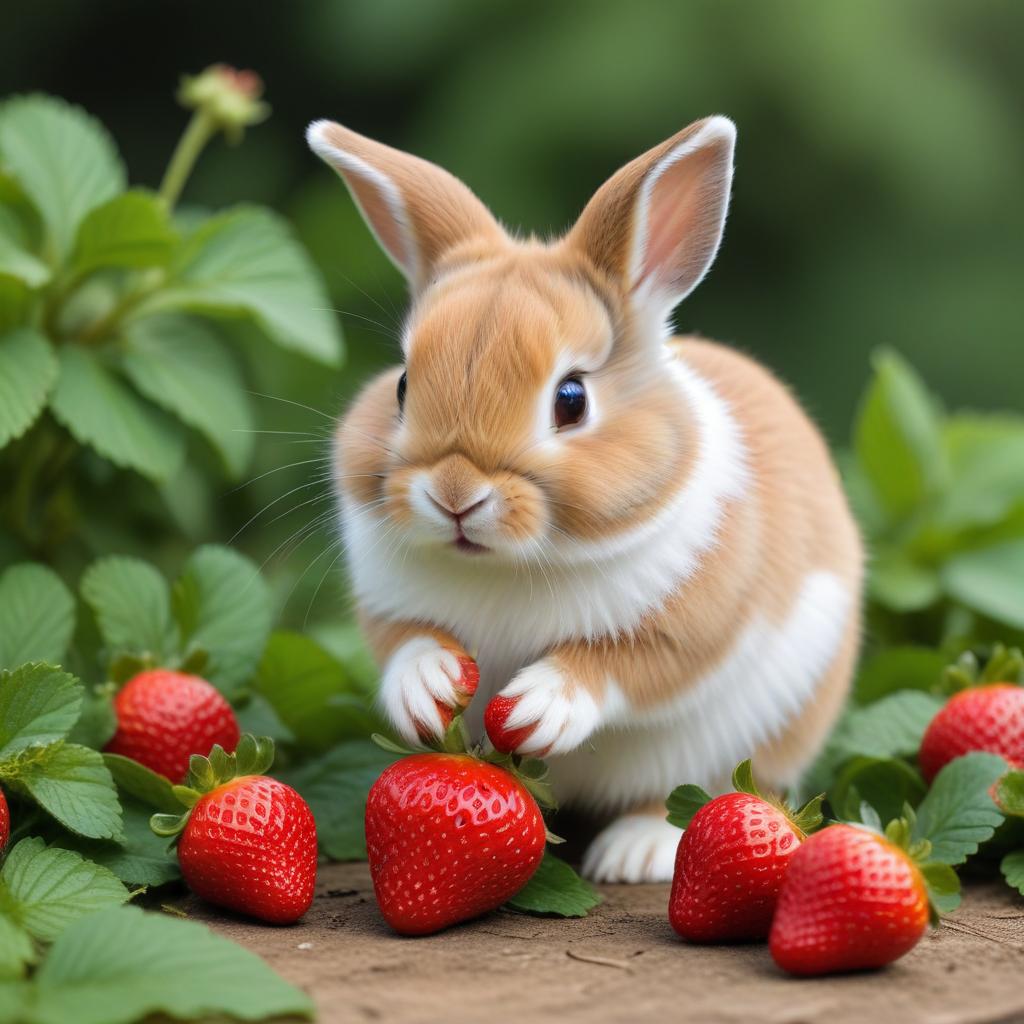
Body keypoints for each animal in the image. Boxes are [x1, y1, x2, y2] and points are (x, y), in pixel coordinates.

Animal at [307, 114, 863, 883]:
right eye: (401, 387)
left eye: (571, 399)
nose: (454, 494)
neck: (503, 565)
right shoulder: (389, 607)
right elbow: (404, 644)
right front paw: (430, 685)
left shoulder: (688, 628)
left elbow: (627, 666)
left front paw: (541, 706)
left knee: (687, 796)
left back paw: (634, 854)